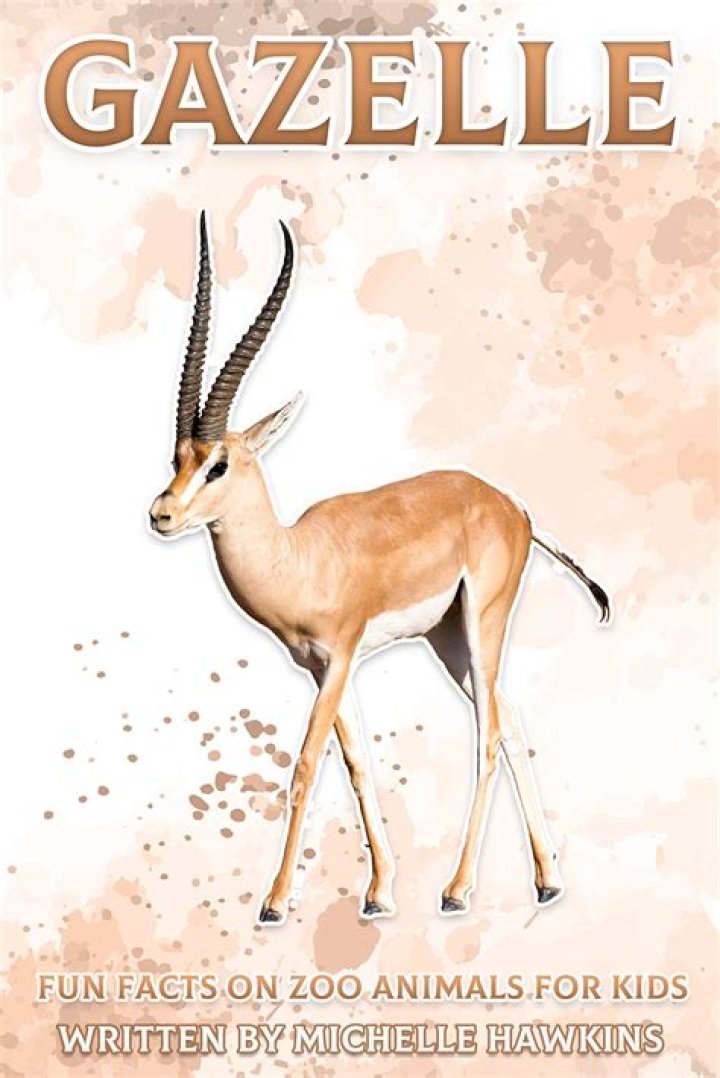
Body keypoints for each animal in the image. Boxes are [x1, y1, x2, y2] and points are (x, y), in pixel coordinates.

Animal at [149, 212, 610, 924]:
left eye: (218, 464)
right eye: (175, 459)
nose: (161, 514)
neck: (299, 559)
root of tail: (511, 504)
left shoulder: (340, 658)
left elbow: (307, 766)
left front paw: (275, 903)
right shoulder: (321, 670)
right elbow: (358, 764)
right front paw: (378, 893)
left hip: (482, 623)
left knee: (487, 735)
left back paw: (457, 890)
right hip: (450, 641)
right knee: (509, 721)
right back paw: (547, 881)